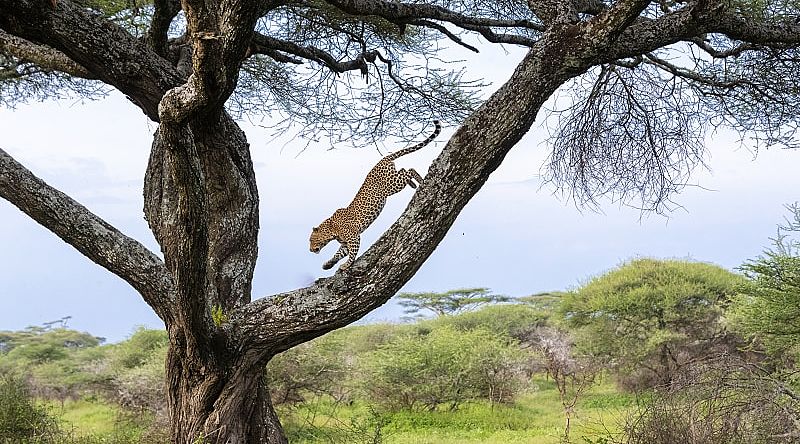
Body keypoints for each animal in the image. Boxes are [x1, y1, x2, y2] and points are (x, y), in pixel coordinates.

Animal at [308, 119, 444, 268]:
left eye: (311, 240)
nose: (310, 250)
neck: (331, 229)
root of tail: (383, 159)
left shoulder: (353, 237)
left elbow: (352, 254)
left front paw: (346, 265)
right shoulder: (345, 242)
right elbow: (338, 253)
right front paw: (328, 264)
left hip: (391, 185)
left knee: (409, 170)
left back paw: (420, 181)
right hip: (393, 179)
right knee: (403, 169)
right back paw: (414, 184)